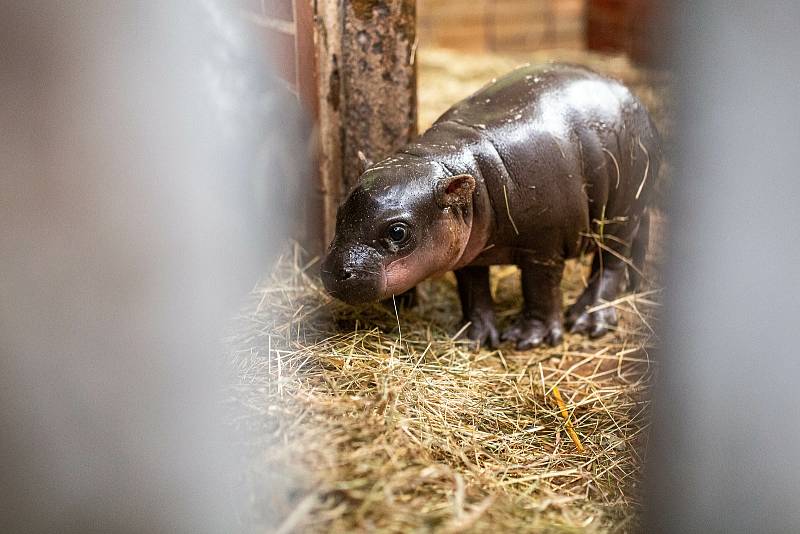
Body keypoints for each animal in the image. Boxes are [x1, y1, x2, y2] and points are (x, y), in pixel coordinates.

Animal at [322, 65, 660, 352]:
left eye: (398, 232)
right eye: (340, 211)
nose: (333, 272)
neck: (455, 164)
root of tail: (633, 97)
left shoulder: (544, 249)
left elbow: (539, 290)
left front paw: (527, 339)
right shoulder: (467, 254)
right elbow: (474, 291)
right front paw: (474, 337)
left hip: (620, 214)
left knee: (610, 263)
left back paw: (587, 320)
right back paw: (632, 288)